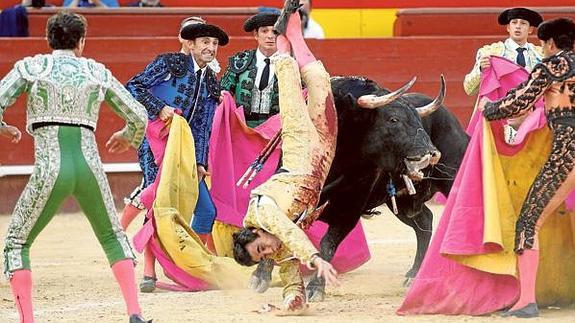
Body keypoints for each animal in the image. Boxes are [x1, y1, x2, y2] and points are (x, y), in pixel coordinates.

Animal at [251, 75, 468, 302]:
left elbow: (327, 245)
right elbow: (273, 231)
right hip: (402, 203)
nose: (432, 153)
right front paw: (260, 277)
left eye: (418, 120)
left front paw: (315, 288)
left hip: (451, 180)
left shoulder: (349, 213)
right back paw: (414, 274)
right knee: (425, 221)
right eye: (393, 119)